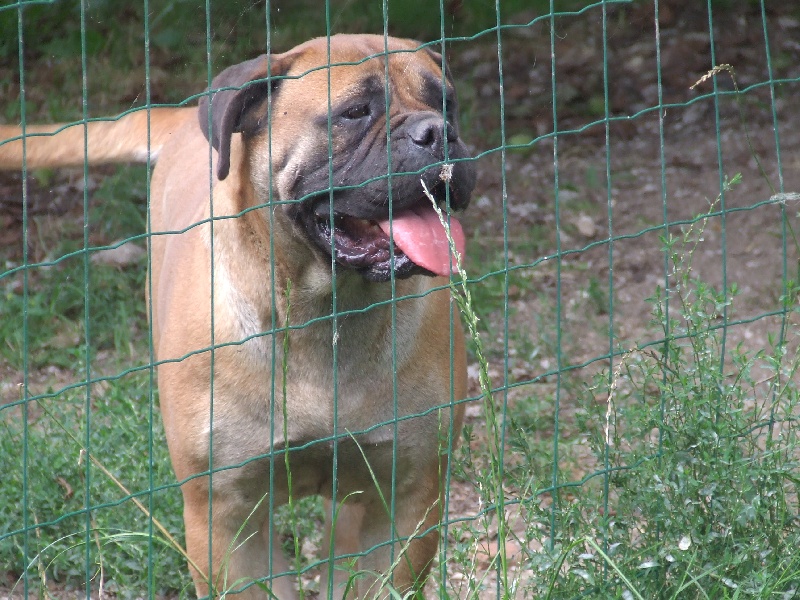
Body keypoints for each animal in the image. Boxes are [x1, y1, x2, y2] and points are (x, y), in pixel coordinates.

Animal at [1, 34, 475, 599]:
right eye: (356, 112)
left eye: (448, 103)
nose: (439, 132)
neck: (323, 315)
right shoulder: (226, 517)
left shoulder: (404, 499)